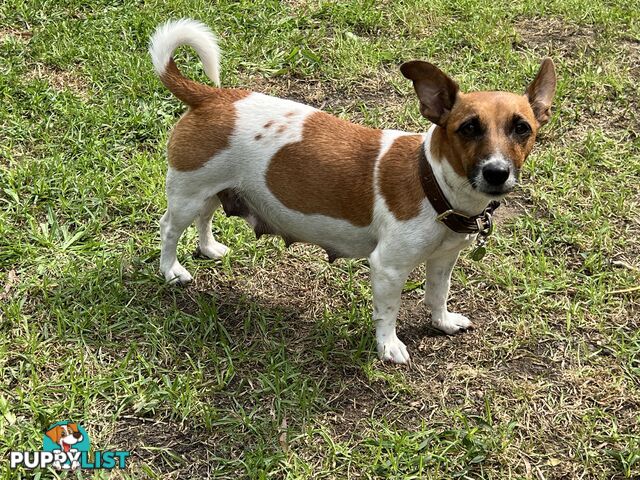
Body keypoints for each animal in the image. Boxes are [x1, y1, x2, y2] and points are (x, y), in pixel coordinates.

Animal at [150, 19, 556, 364]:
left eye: (522, 128)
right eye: (468, 128)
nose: (497, 173)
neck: (432, 183)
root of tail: (210, 97)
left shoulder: (443, 260)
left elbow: (436, 295)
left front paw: (442, 323)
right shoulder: (388, 268)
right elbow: (388, 312)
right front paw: (388, 347)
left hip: (213, 189)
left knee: (205, 216)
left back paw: (208, 248)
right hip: (187, 194)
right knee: (169, 228)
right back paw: (171, 270)